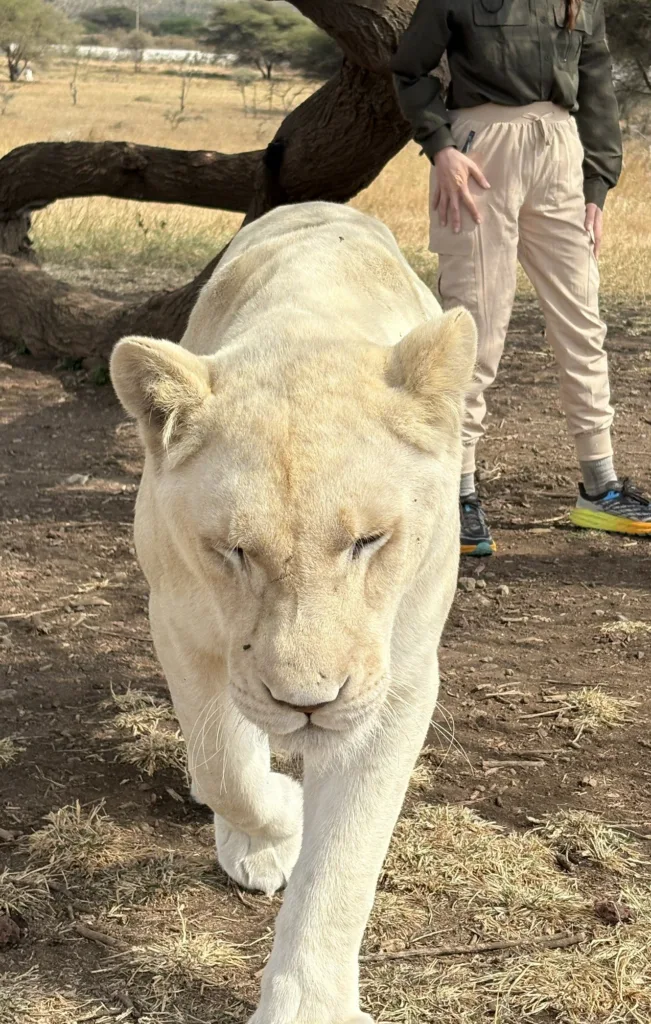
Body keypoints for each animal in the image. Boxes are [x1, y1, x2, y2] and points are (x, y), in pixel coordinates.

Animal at [110, 201, 476, 1024]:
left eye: (369, 541)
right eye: (234, 551)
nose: (307, 703)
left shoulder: (398, 679)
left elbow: (343, 860)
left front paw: (308, 1002)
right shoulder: (179, 627)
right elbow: (224, 767)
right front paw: (276, 824)